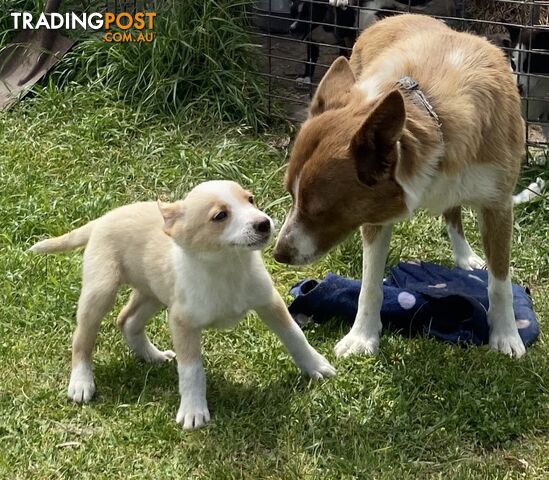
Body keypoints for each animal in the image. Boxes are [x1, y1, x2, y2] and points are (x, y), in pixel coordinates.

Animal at [33, 182, 338, 430]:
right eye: (220, 216)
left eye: (250, 199)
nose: (264, 223)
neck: (227, 267)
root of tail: (102, 219)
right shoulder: (182, 322)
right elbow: (191, 369)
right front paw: (193, 411)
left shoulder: (269, 302)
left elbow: (294, 336)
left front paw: (317, 367)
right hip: (101, 291)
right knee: (83, 337)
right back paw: (81, 382)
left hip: (154, 294)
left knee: (127, 320)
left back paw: (153, 356)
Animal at [274, 14, 528, 356]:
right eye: (291, 195)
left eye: (321, 211)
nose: (278, 255)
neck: (429, 113)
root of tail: (394, 16)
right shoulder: (374, 213)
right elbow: (370, 284)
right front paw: (363, 336)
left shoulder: (498, 205)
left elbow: (500, 280)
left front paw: (506, 334)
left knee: (453, 211)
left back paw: (464, 256)